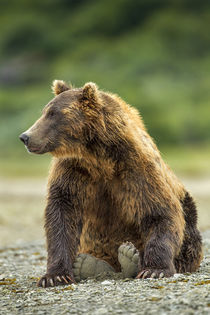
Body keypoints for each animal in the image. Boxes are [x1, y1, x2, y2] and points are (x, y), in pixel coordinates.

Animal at [19, 80, 203, 288]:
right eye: (44, 112)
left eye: (53, 114)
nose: (25, 137)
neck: (98, 157)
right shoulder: (73, 171)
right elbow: (62, 214)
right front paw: (54, 276)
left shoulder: (136, 167)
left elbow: (159, 211)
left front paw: (154, 270)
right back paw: (89, 264)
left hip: (189, 212)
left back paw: (130, 257)